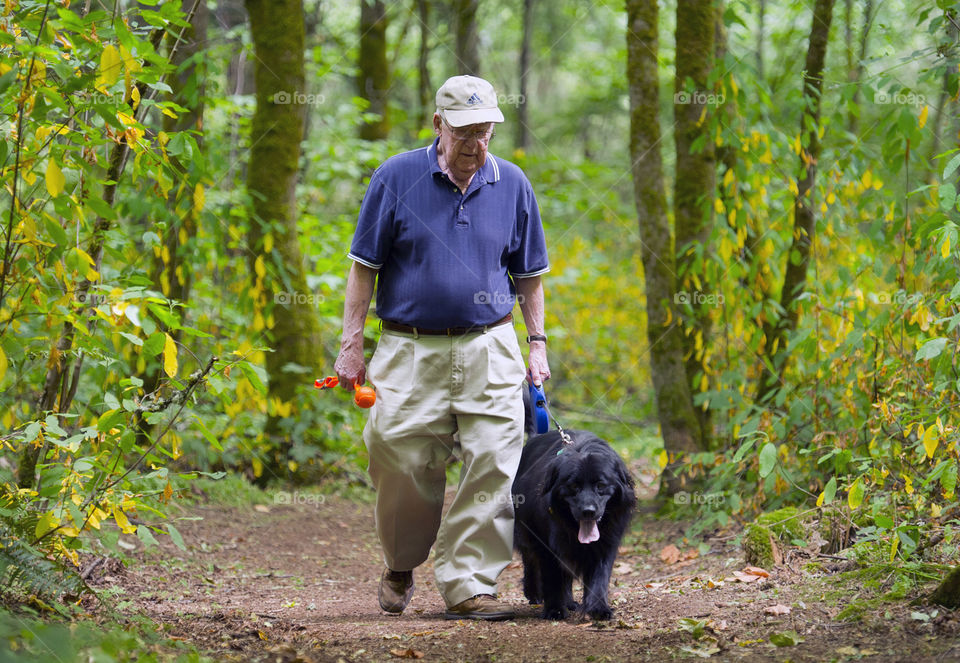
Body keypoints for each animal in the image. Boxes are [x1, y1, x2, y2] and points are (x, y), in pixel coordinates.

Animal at [510, 430, 636, 624]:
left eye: (601, 485)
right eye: (573, 486)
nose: (588, 511)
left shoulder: (606, 543)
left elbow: (599, 576)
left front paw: (598, 609)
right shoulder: (546, 543)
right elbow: (552, 576)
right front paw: (554, 610)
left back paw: (569, 601)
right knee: (530, 560)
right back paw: (534, 593)